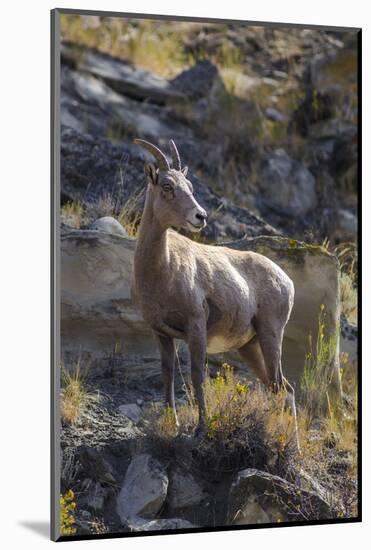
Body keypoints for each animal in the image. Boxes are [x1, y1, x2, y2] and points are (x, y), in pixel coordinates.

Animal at [134, 140, 300, 442]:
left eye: (189, 186)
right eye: (167, 186)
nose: (200, 216)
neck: (162, 269)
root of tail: (287, 281)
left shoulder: (196, 327)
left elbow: (197, 376)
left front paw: (201, 428)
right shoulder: (161, 333)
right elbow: (168, 375)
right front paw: (173, 424)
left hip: (271, 335)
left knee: (282, 389)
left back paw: (292, 445)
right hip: (250, 347)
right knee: (281, 389)